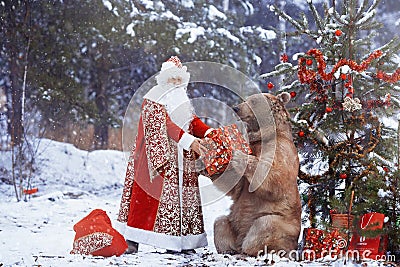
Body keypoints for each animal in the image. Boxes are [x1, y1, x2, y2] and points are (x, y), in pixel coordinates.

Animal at [209, 92, 300, 258]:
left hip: (284, 225)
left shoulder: (281, 149)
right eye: (246, 99)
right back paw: (230, 249)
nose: (236, 108)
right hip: (233, 224)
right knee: (220, 222)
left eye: (254, 101)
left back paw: (250, 250)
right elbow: (235, 186)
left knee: (264, 225)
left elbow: (275, 176)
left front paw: (237, 155)